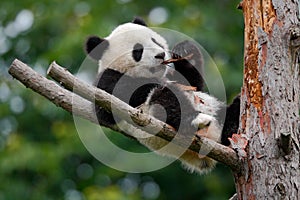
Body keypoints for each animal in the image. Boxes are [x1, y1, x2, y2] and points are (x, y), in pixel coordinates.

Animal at [85, 16, 240, 173]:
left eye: (155, 41)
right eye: (138, 50)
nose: (160, 55)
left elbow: (192, 82)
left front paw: (184, 51)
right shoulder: (107, 80)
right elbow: (106, 109)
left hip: (219, 113)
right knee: (165, 100)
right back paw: (196, 120)